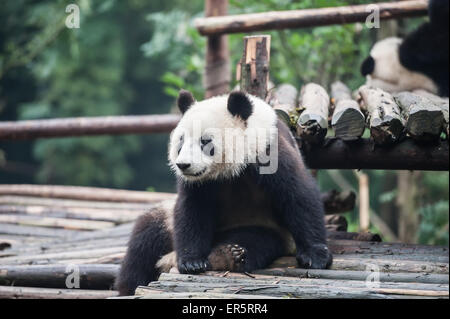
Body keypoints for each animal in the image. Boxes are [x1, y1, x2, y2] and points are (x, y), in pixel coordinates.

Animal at [115, 89, 334, 296]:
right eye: (181, 141)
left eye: (205, 141)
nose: (183, 165)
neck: (230, 170)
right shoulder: (199, 183)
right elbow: (191, 209)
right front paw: (192, 261)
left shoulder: (269, 151)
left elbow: (297, 195)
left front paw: (316, 257)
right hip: (166, 222)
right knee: (145, 240)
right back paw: (130, 286)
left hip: (264, 227)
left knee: (254, 240)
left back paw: (226, 255)